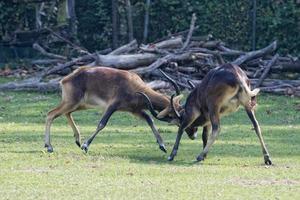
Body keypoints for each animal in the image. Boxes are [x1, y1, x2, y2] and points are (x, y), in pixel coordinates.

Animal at [44, 66, 186, 152]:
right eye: (173, 115)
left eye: (181, 110)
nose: (184, 125)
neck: (134, 85)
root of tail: (66, 79)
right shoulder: (112, 106)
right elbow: (102, 124)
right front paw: (85, 145)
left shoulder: (135, 111)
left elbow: (149, 119)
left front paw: (162, 145)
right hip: (72, 102)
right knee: (51, 114)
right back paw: (49, 146)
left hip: (80, 105)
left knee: (66, 113)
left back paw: (77, 140)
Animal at [143, 63, 272, 165]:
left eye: (178, 122)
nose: (192, 136)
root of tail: (237, 76)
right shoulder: (208, 120)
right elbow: (205, 135)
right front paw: (205, 155)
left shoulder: (192, 113)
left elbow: (182, 129)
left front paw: (171, 155)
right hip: (247, 104)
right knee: (256, 125)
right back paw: (267, 158)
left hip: (214, 106)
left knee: (217, 128)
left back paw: (199, 156)